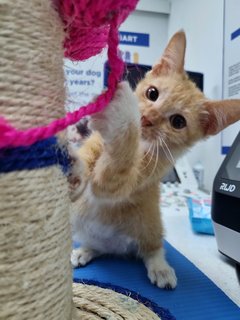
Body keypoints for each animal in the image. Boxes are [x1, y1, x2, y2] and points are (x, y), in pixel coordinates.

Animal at [69, 31, 240, 288]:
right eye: (152, 93)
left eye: (178, 121)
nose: (147, 118)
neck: (142, 144)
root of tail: (116, 248)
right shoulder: (95, 143)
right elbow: (85, 159)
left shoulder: (130, 179)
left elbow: (112, 173)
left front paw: (122, 115)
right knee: (99, 245)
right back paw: (86, 250)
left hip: (150, 224)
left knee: (151, 248)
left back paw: (160, 267)